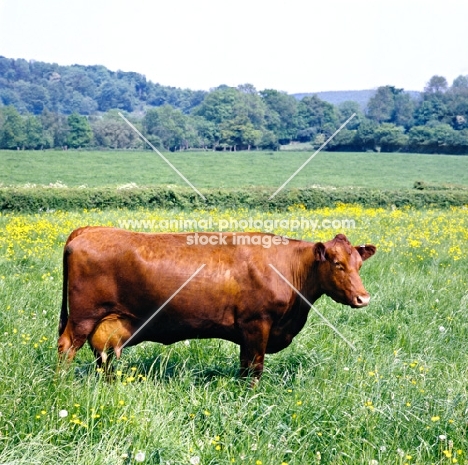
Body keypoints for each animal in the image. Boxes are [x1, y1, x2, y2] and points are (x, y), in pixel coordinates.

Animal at [56, 227, 374, 376]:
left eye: (359, 264)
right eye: (337, 264)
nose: (363, 298)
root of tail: (89, 229)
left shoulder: (248, 333)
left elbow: (244, 366)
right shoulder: (257, 325)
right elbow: (254, 369)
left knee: (102, 352)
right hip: (83, 316)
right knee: (67, 347)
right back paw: (63, 383)